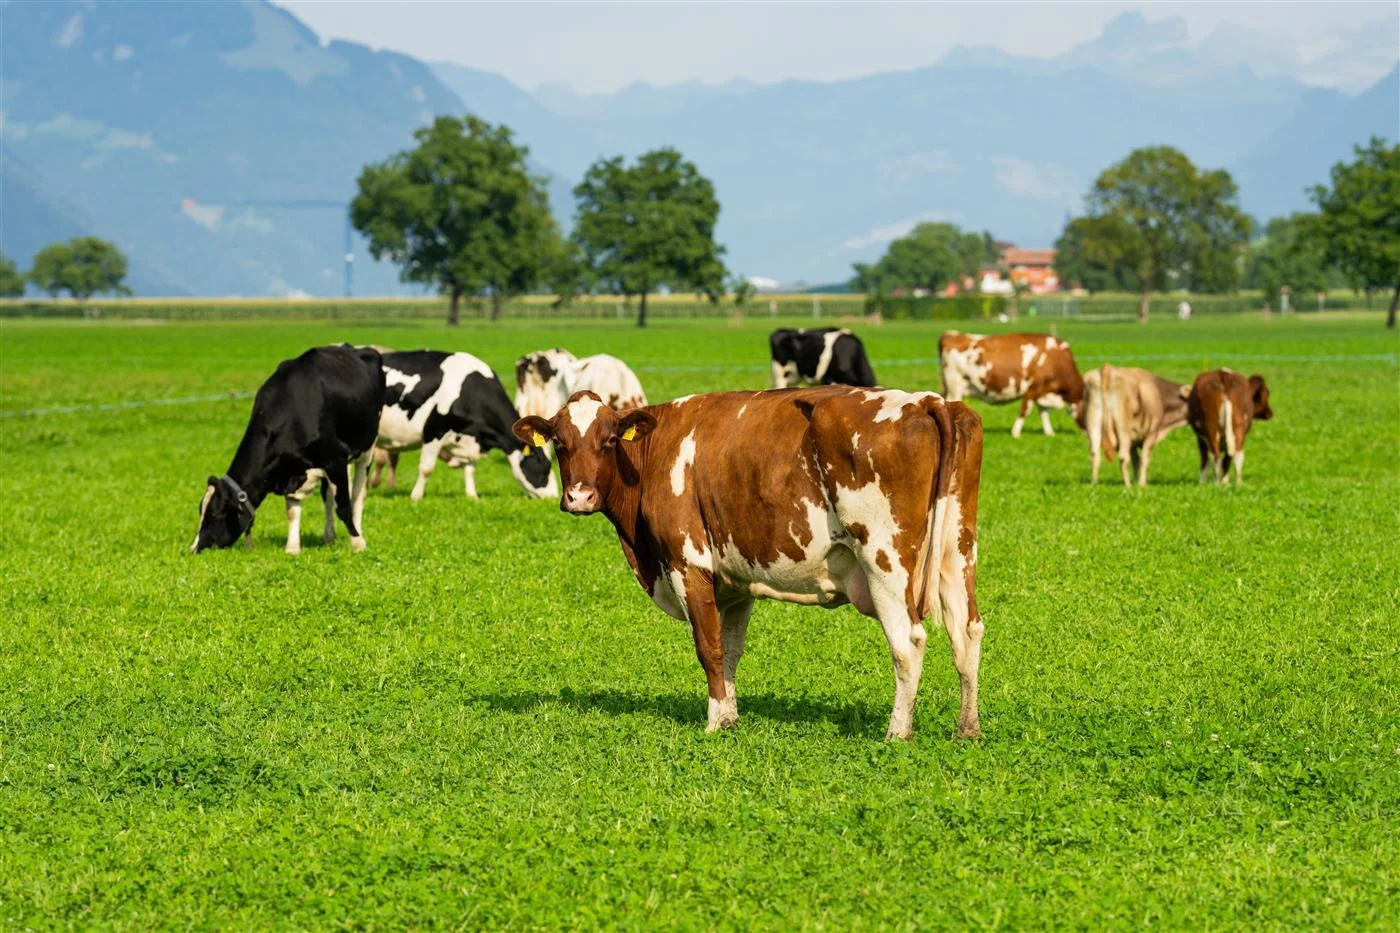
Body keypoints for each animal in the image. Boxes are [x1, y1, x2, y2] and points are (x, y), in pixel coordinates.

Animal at [192, 345, 383, 555]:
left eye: (215, 515)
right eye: (201, 511)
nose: (194, 548)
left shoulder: (336, 458)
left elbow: (343, 506)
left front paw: (357, 543)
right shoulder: (289, 469)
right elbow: (293, 511)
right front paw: (292, 548)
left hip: (367, 449)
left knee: (357, 494)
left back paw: (357, 535)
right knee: (328, 496)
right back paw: (329, 537)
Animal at [378, 350, 556, 501]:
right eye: (545, 466)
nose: (553, 496)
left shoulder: (472, 437)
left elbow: (470, 468)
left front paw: (472, 496)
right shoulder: (434, 431)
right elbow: (426, 468)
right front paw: (416, 497)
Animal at [513, 387, 985, 740]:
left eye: (609, 440)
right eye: (559, 443)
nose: (579, 497)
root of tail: (927, 400)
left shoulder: (688, 563)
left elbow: (708, 647)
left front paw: (712, 724)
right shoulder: (736, 583)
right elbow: (731, 649)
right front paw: (729, 717)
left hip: (884, 558)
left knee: (908, 642)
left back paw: (897, 732)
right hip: (957, 550)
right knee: (967, 631)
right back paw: (968, 729)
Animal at [938, 331, 1085, 437]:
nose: (1085, 433)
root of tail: (951, 334)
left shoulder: (1043, 390)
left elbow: (1043, 411)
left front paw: (1049, 433)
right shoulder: (1033, 388)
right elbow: (1025, 410)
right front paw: (1015, 433)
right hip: (955, 386)